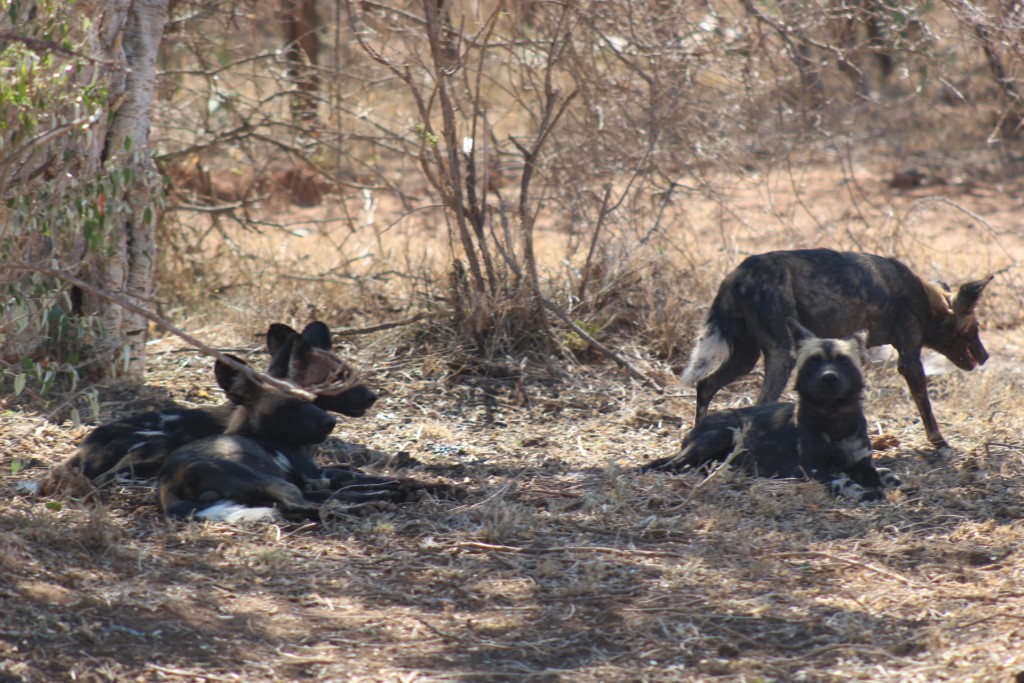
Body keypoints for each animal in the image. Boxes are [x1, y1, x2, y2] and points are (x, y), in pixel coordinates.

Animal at [158, 333, 449, 522]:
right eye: (288, 407)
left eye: (311, 399)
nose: (331, 423)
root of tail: (169, 482)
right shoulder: (317, 477)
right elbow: (369, 482)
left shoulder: (321, 479)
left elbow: (369, 480)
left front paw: (417, 488)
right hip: (271, 481)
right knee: (303, 508)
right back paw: (362, 509)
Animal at [643, 322, 902, 502]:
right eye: (813, 362)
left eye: (844, 361)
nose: (829, 377)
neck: (834, 417)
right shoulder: (814, 469)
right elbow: (845, 481)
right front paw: (865, 493)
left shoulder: (863, 464)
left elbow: (888, 474)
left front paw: (895, 487)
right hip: (723, 434)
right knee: (668, 465)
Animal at [682, 249, 992, 452]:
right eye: (974, 328)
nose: (986, 355)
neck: (925, 301)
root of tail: (737, 274)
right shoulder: (910, 360)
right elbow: (926, 408)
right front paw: (941, 444)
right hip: (782, 355)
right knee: (760, 402)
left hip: (744, 358)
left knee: (705, 385)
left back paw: (697, 435)